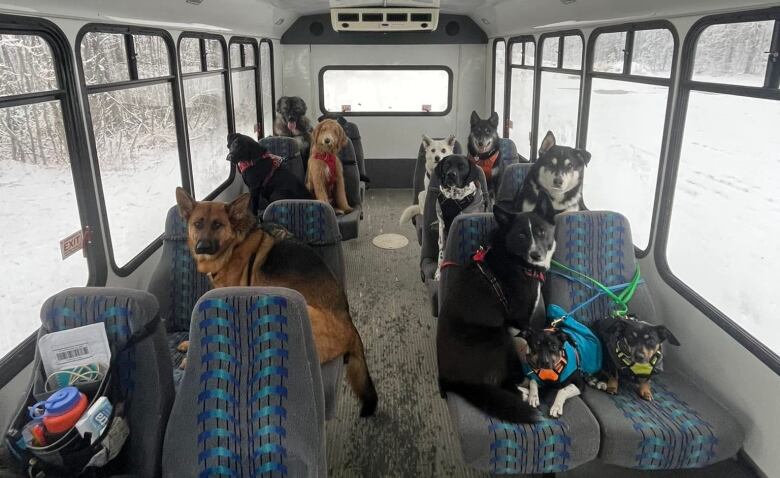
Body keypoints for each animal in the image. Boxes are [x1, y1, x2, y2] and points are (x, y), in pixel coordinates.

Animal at [438, 196, 560, 424]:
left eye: (541, 231)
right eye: (521, 235)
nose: (536, 254)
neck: (515, 260)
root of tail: (452, 381)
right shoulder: (521, 318)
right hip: (499, 338)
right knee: (503, 384)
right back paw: (523, 391)